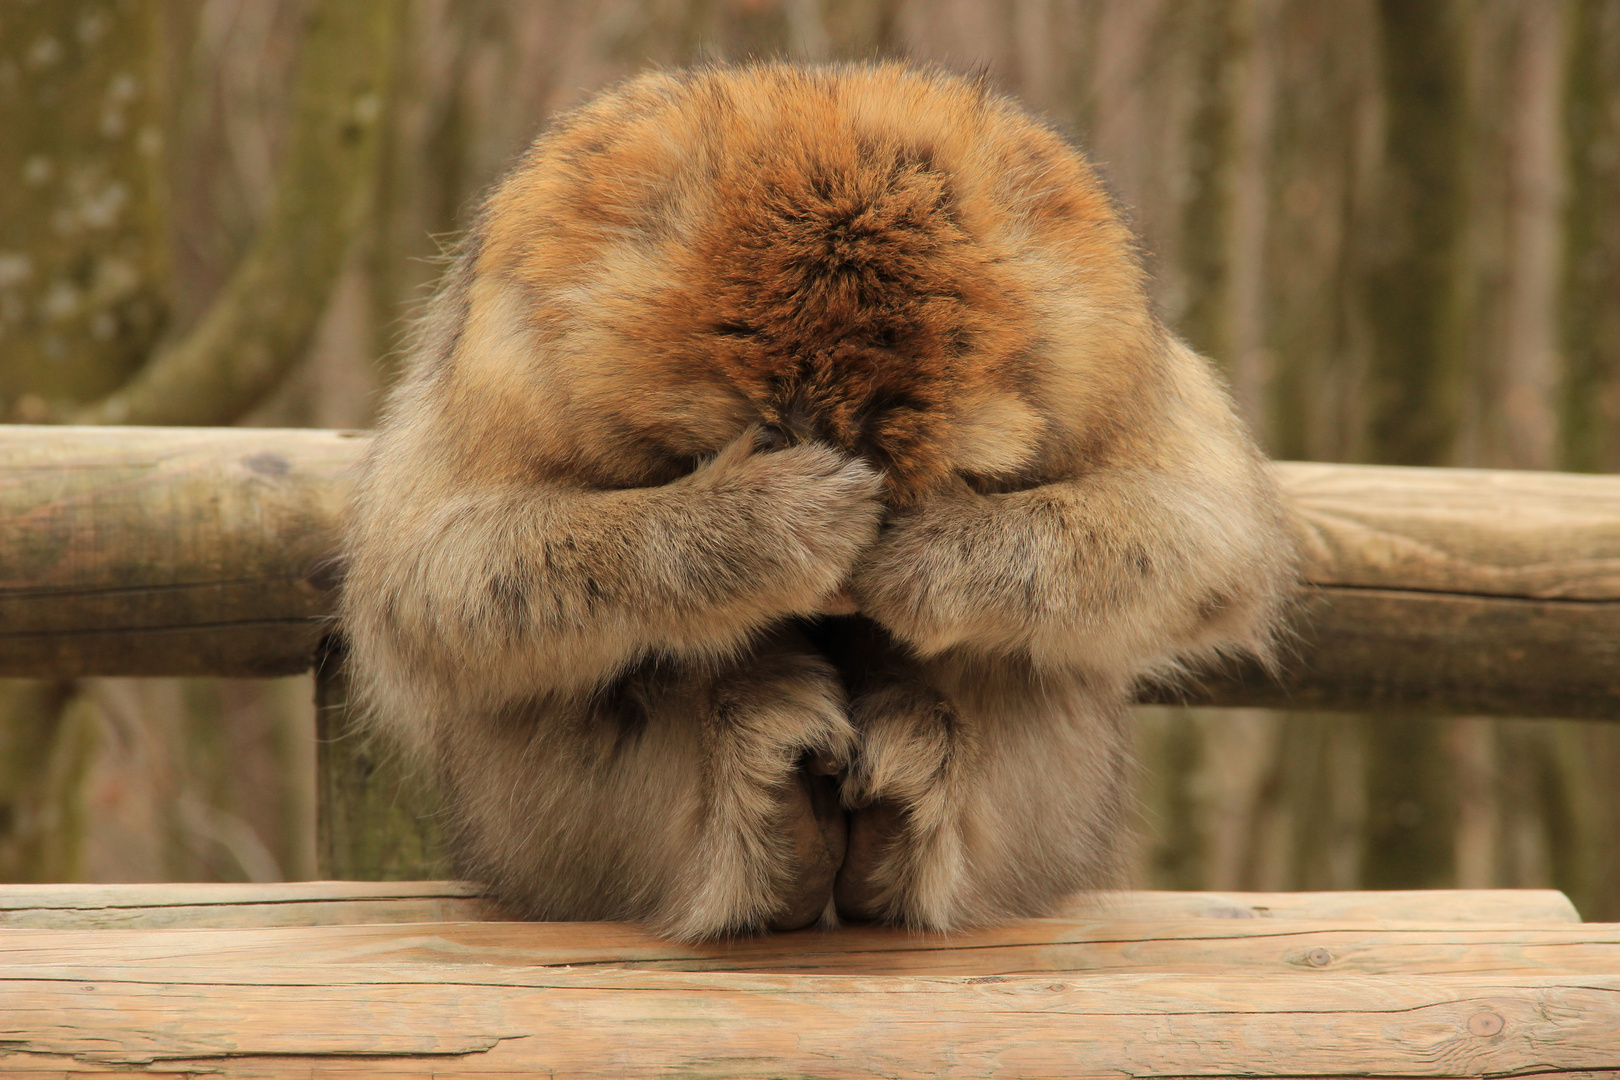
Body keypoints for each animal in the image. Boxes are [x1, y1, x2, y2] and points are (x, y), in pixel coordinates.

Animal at [338, 59, 1289, 939]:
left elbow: (1209, 533)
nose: (837, 595)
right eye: (757, 441)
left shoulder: (1101, 327)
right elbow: (426, 574)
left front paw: (924, 557)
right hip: (533, 842)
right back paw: (773, 802)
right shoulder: (518, 334)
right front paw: (762, 532)